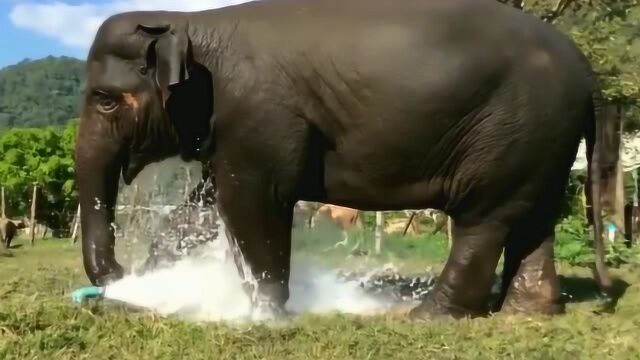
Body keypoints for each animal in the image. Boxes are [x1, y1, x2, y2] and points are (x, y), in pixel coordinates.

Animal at [75, 0, 620, 320]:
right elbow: (202, 204)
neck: (194, 22)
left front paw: (263, 317)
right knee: (533, 218)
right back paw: (526, 313)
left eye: (105, 100)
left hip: (508, 129)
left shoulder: (260, 112)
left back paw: (428, 316)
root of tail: (584, 69)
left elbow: (251, 200)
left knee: (483, 220)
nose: (118, 276)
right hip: (542, 139)